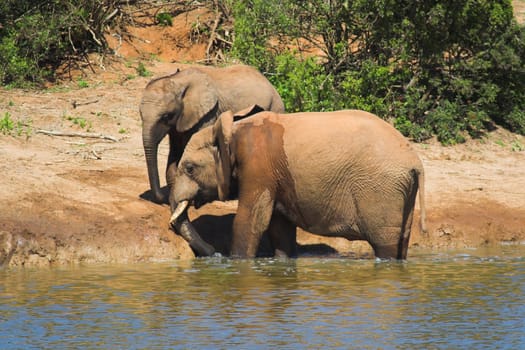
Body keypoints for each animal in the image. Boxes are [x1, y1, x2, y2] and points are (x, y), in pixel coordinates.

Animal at [138, 65, 282, 205]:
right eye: (140, 114)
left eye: (166, 116)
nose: (162, 200)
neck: (178, 79)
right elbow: (175, 152)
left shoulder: (208, 114)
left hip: (275, 108)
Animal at [168, 106, 426, 260]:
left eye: (189, 168)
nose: (213, 253)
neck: (231, 128)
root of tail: (415, 161)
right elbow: (279, 228)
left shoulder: (257, 166)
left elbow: (250, 221)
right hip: (401, 190)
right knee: (402, 242)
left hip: (381, 189)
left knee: (385, 244)